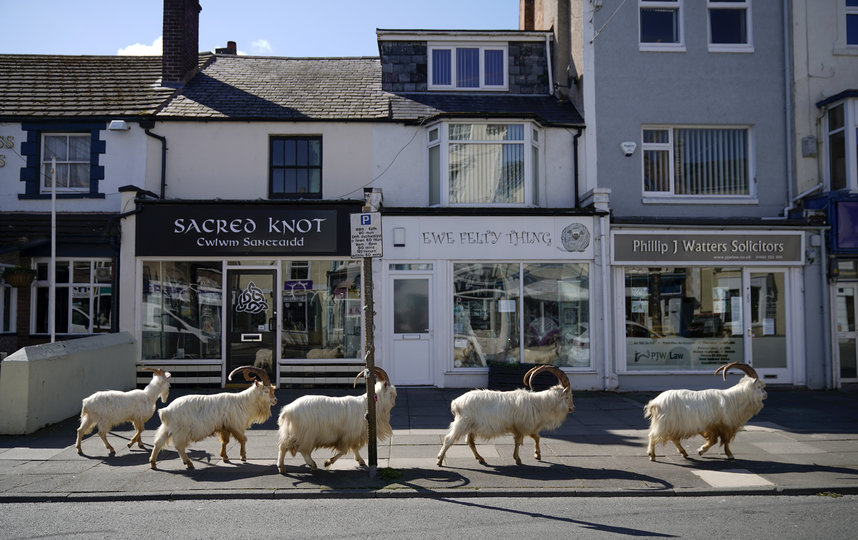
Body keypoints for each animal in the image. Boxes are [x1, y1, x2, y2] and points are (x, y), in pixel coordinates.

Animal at [434, 364, 576, 466]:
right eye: (568, 397)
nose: (572, 408)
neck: (539, 403)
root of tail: (456, 403)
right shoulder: (522, 426)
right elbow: (520, 441)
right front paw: (518, 459)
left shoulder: (524, 427)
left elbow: (536, 437)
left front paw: (537, 454)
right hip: (462, 423)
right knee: (448, 440)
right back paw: (439, 461)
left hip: (471, 427)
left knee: (470, 441)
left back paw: (480, 458)